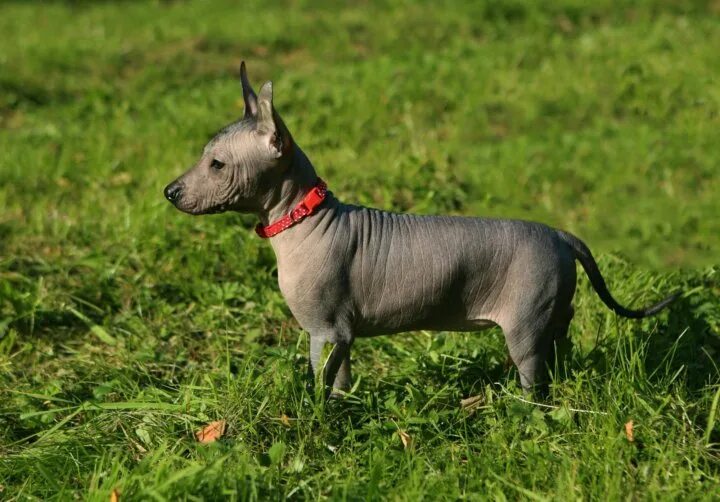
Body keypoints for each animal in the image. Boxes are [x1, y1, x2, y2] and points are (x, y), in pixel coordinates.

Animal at [166, 63, 676, 396]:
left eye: (217, 164)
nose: (170, 191)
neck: (305, 220)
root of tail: (560, 236)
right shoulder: (342, 337)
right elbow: (342, 385)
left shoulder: (326, 332)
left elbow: (321, 388)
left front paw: (320, 421)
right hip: (554, 315)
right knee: (561, 349)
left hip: (526, 325)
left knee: (535, 381)